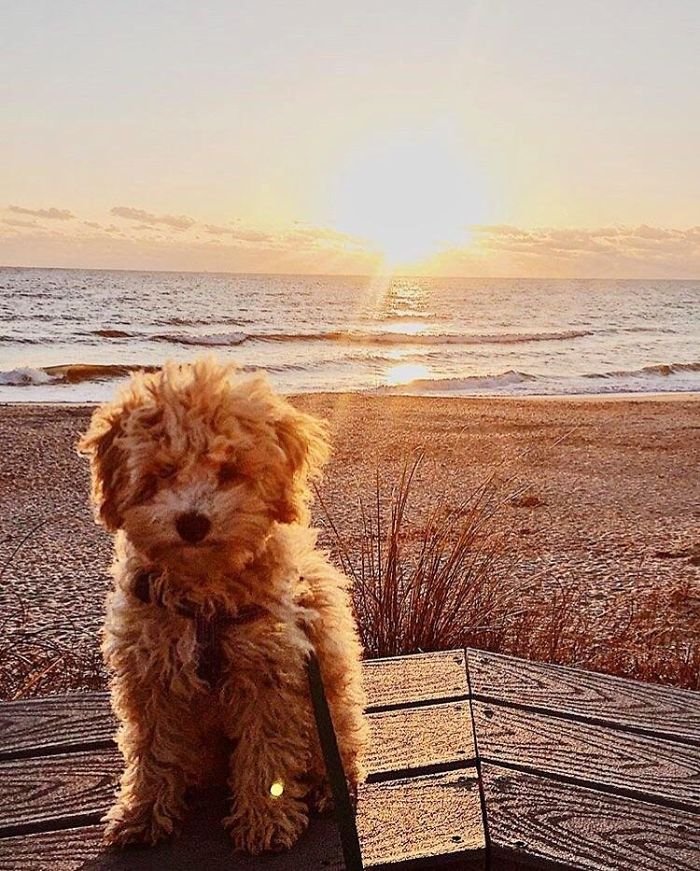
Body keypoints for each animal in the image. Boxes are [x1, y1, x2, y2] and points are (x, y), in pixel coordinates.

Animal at [78, 358, 366, 856]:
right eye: (163, 471)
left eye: (229, 469)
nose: (193, 522)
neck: (204, 600)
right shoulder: (150, 677)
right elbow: (151, 752)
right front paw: (142, 814)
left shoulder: (270, 675)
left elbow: (266, 753)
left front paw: (265, 819)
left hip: (331, 706)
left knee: (338, 749)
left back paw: (326, 787)